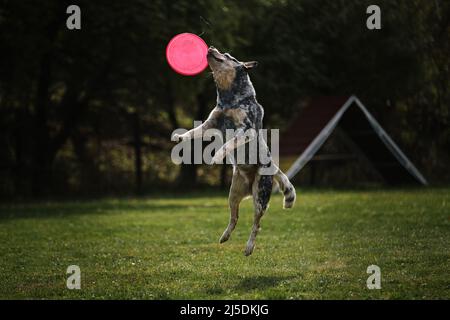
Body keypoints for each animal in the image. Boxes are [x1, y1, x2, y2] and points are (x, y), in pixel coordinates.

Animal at [172, 46, 296, 255]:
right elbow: (193, 132)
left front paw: (217, 156)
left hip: (259, 198)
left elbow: (228, 144)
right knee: (234, 218)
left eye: (228, 55)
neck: (230, 99)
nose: (211, 47)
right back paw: (224, 236)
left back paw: (249, 247)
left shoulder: (245, 130)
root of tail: (273, 167)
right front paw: (181, 137)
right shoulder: (210, 123)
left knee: (256, 225)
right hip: (233, 194)